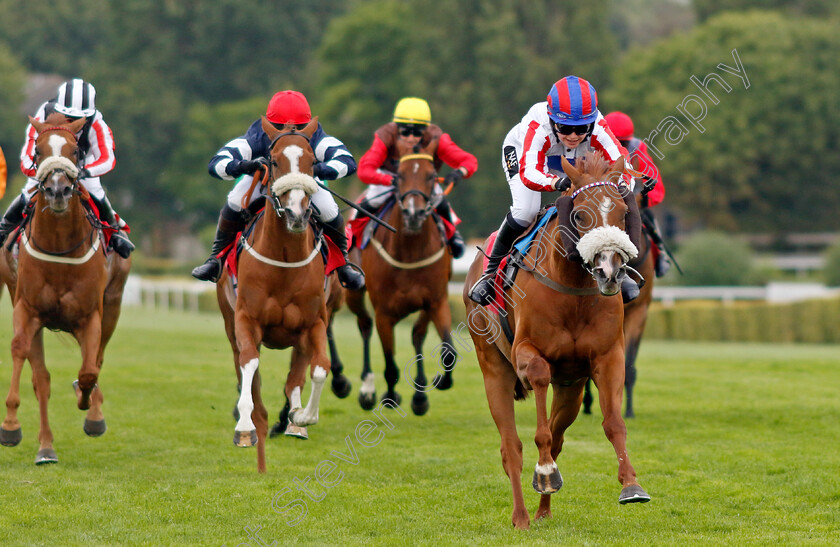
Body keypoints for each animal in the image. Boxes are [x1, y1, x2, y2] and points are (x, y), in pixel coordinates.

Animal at [0, 113, 130, 464]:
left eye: (76, 151)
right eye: (38, 150)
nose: (57, 190)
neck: (59, 247)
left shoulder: (90, 316)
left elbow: (88, 371)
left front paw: (89, 407)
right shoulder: (27, 309)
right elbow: (21, 353)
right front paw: (10, 425)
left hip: (113, 305)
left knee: (97, 360)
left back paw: (92, 411)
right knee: (42, 380)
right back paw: (46, 448)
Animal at [217, 115, 332, 470]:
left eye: (313, 163)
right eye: (274, 160)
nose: (297, 213)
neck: (285, 260)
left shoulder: (314, 323)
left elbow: (319, 369)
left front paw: (303, 416)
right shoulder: (245, 319)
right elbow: (249, 365)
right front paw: (244, 426)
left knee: (297, 372)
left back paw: (294, 420)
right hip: (229, 323)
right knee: (243, 365)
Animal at [344, 139, 456, 418]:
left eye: (430, 176)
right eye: (400, 176)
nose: (414, 214)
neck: (410, 252)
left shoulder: (436, 300)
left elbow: (447, 350)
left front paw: (432, 386)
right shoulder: (384, 312)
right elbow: (391, 362)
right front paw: (390, 396)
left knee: (416, 335)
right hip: (353, 293)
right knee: (364, 325)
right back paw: (366, 389)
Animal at [466, 154, 648, 532]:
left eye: (624, 211)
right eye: (578, 215)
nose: (609, 272)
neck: (573, 289)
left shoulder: (607, 357)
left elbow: (613, 423)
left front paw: (631, 484)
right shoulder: (526, 353)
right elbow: (538, 401)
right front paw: (546, 471)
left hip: (571, 390)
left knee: (558, 434)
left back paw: (542, 511)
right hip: (493, 369)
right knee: (511, 447)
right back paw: (522, 516)